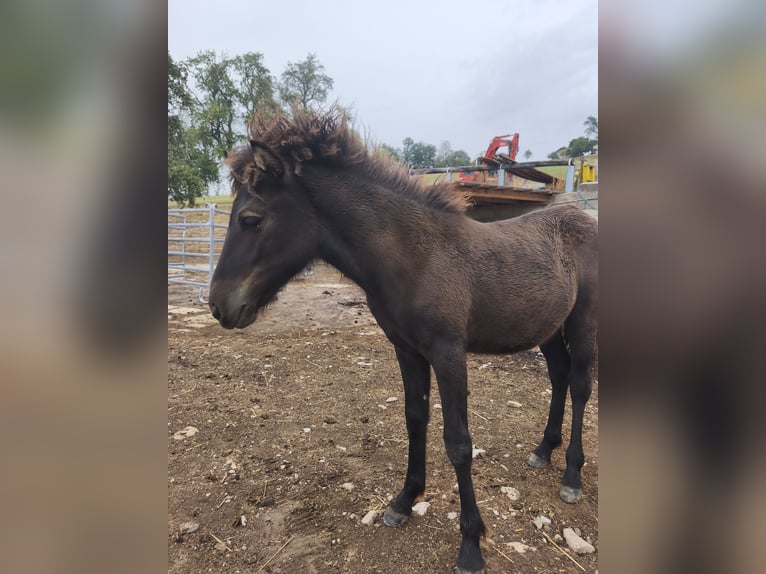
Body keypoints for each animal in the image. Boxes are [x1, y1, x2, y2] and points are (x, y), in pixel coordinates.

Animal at [208, 105, 598, 574]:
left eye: (251, 219)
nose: (218, 306)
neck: (416, 256)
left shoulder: (448, 354)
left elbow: (459, 443)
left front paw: (471, 543)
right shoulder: (407, 350)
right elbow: (415, 420)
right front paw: (404, 501)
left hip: (583, 321)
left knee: (579, 385)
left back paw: (572, 476)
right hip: (548, 328)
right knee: (558, 376)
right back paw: (543, 449)